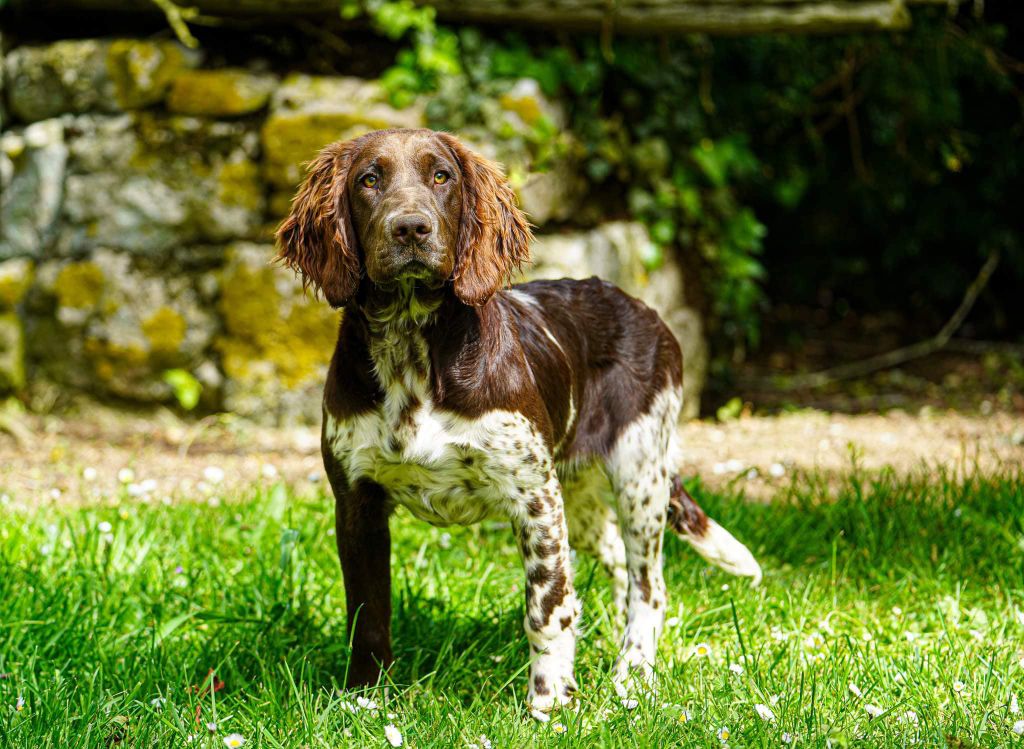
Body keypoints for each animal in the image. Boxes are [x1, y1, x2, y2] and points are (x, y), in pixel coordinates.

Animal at [272, 129, 761, 721]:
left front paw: (549, 705)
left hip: (638, 474)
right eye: (369, 179)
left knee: (650, 586)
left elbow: (545, 607)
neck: (414, 347)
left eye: (442, 176)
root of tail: (645, 309)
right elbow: (367, 617)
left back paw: (632, 674)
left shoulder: (534, 496)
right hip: (578, 490)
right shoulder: (356, 502)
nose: (411, 228)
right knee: (616, 562)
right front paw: (366, 704)